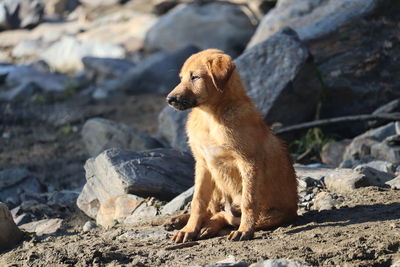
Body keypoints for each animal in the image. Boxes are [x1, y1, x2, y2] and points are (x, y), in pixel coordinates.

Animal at [166, 49, 296, 244]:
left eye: (195, 77)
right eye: (181, 78)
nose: (169, 99)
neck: (210, 117)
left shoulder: (248, 162)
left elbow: (248, 201)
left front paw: (244, 230)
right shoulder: (203, 164)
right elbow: (198, 201)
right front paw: (188, 229)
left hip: (270, 216)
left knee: (226, 216)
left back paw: (210, 226)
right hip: (216, 182)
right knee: (212, 210)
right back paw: (180, 220)